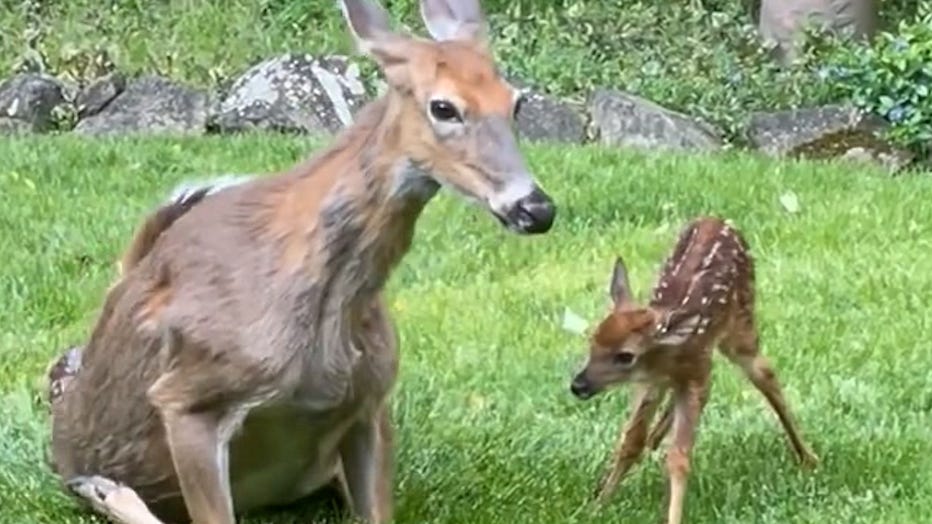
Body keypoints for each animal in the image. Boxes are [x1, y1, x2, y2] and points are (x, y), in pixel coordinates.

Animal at [45, 1, 555, 523]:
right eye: (444, 107)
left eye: (516, 102)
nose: (536, 209)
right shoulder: (186, 397)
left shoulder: (371, 399)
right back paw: (101, 486)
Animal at [569, 216, 818, 524]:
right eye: (591, 341)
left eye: (625, 356)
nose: (578, 385)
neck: (669, 354)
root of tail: (718, 218)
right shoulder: (651, 382)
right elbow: (630, 441)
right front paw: (597, 505)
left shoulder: (697, 372)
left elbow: (679, 457)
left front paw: (672, 516)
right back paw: (653, 441)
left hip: (741, 324)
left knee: (765, 374)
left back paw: (808, 457)